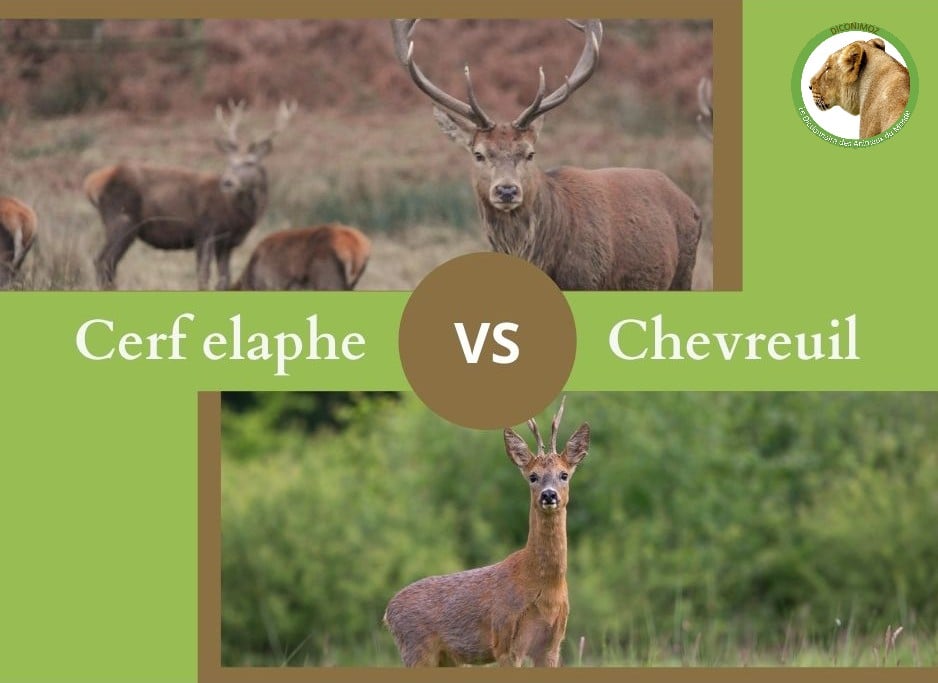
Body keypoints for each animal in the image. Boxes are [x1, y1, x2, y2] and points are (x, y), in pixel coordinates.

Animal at [83, 100, 296, 290]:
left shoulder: (227, 243)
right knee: (103, 261)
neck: (236, 216)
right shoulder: (205, 231)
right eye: (230, 161)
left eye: (250, 162)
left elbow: (224, 280)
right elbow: (203, 275)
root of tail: (91, 184)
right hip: (121, 219)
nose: (227, 181)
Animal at [384, 398, 590, 667]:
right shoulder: (505, 640)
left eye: (564, 474)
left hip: (447, 659)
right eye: (533, 476)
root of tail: (388, 612)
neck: (543, 586)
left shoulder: (551, 646)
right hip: (417, 649)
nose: (548, 495)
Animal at [392, 19, 702, 291]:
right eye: (478, 154)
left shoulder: (587, 281)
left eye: (530, 153)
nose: (507, 190)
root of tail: (690, 202)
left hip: (683, 273)